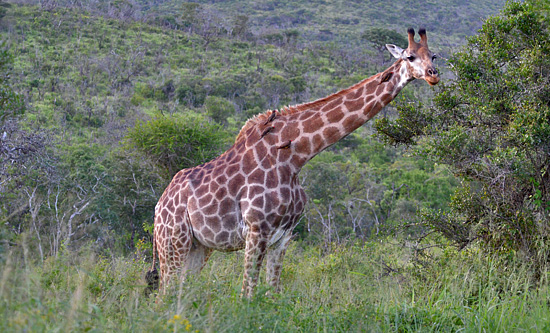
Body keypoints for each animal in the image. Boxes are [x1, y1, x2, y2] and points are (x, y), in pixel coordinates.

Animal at [147, 27, 440, 296]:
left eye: (434, 55)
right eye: (410, 56)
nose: (433, 74)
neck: (295, 157)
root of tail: (159, 204)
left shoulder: (283, 235)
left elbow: (272, 293)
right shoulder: (256, 230)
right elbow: (247, 293)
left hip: (199, 247)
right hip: (173, 241)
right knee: (164, 295)